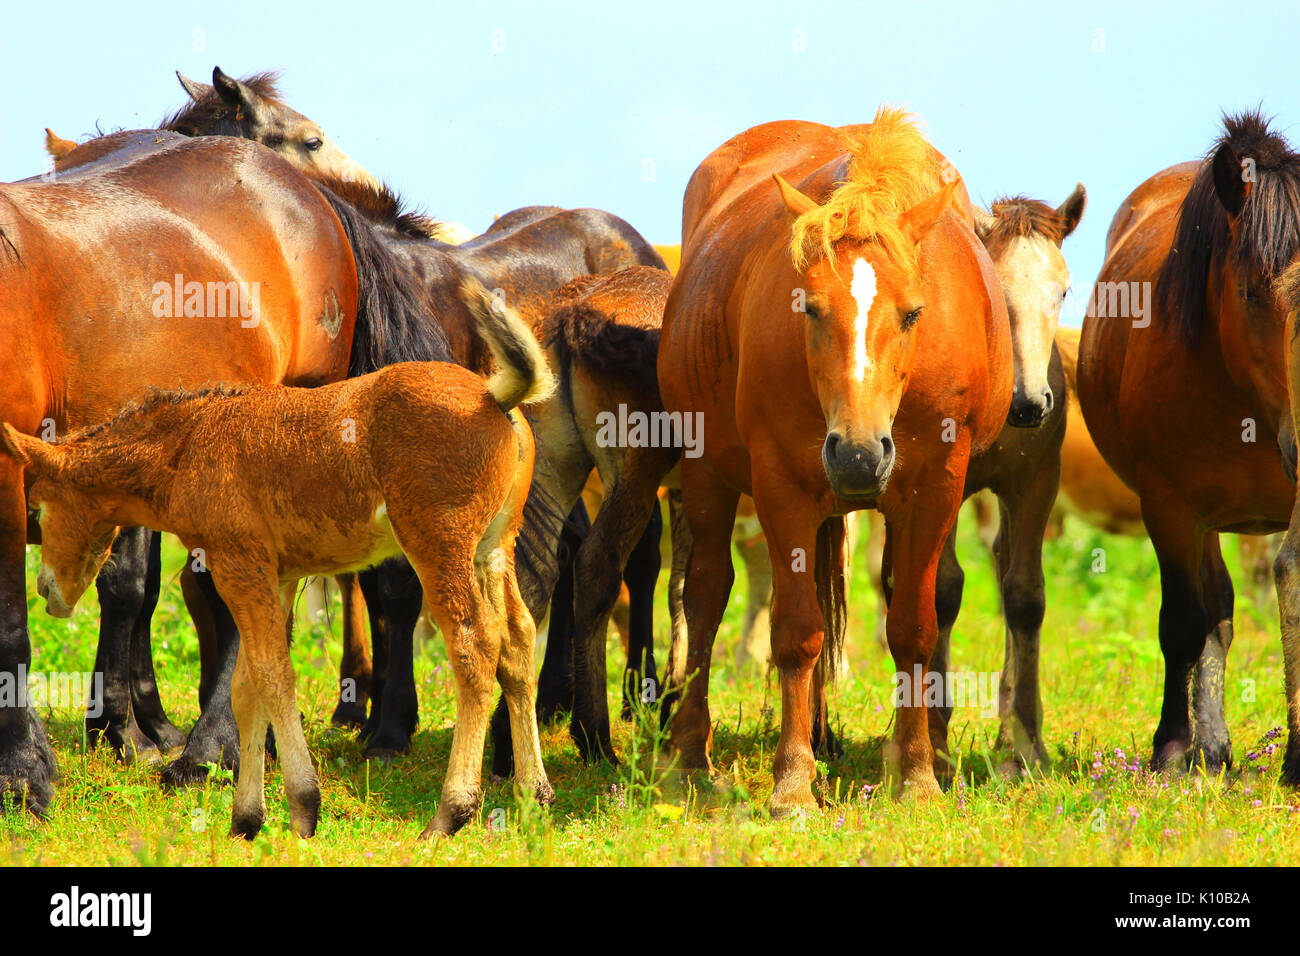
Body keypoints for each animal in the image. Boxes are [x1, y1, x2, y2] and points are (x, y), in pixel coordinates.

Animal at [0, 286, 553, 837]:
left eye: (37, 508)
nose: (46, 589)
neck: (190, 444)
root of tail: (495, 397)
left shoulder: (237, 565)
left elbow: (272, 677)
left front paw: (303, 806)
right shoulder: (277, 576)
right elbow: (247, 688)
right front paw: (246, 818)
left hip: (439, 546)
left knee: (474, 647)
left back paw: (450, 813)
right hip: (492, 549)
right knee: (518, 641)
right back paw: (534, 795)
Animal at [657, 109, 1013, 811]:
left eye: (914, 313)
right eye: (811, 307)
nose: (856, 453)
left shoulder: (935, 489)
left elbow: (914, 628)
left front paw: (918, 774)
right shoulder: (781, 486)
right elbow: (796, 632)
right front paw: (793, 780)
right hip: (707, 473)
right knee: (705, 595)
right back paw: (692, 757)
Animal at [1077, 110, 1300, 775]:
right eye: (1250, 291)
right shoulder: (1168, 506)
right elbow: (1182, 623)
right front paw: (1172, 747)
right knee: (1212, 615)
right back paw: (1209, 745)